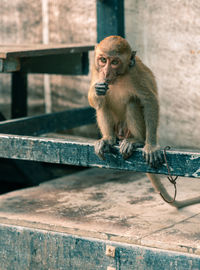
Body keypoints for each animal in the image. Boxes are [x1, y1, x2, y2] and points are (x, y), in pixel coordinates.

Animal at [88, 35, 200, 209]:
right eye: (103, 60)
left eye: (115, 62)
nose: (106, 72)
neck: (120, 76)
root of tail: (122, 135)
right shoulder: (95, 70)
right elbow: (95, 100)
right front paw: (96, 90)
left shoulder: (136, 74)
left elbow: (149, 101)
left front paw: (151, 145)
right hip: (117, 128)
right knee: (103, 103)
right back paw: (108, 139)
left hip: (129, 129)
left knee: (133, 102)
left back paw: (138, 141)